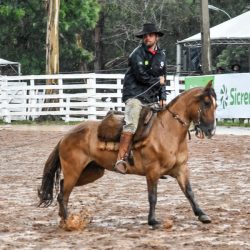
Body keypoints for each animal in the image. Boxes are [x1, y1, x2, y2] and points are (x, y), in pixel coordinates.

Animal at [38, 81, 217, 228]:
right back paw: (68, 222)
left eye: (216, 105)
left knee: (62, 188)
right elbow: (153, 196)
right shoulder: (152, 171)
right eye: (206, 103)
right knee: (64, 195)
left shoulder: (181, 169)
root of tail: (66, 136)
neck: (167, 130)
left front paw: (202, 214)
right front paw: (153, 221)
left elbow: (189, 192)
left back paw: (64, 219)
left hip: (91, 172)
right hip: (73, 171)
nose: (211, 131)